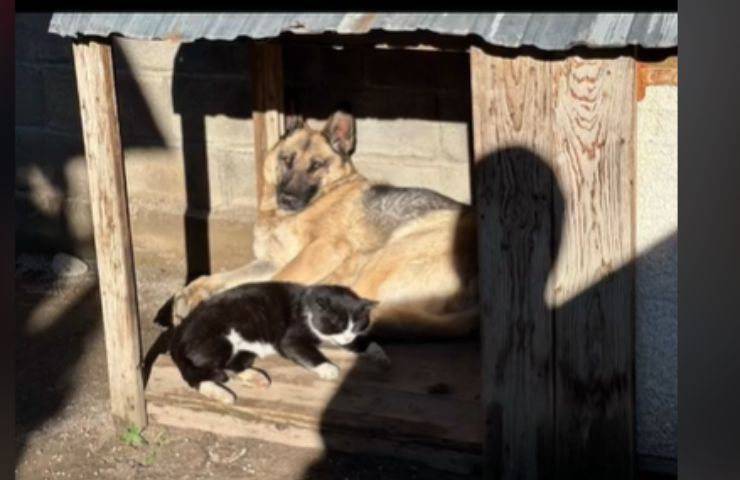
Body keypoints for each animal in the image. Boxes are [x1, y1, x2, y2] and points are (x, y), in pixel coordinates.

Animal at [168, 282, 388, 404]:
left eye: (356, 325)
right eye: (336, 324)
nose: (347, 336)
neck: (308, 307)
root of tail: (178, 334)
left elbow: (361, 343)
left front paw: (379, 353)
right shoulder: (290, 339)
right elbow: (307, 352)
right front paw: (328, 368)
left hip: (245, 350)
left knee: (232, 365)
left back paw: (257, 377)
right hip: (220, 342)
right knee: (196, 376)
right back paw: (221, 394)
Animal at [171, 110, 476, 340]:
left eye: (317, 165)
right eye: (287, 160)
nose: (287, 198)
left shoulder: (323, 249)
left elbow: (273, 279)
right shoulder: (270, 261)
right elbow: (222, 278)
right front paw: (193, 291)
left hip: (389, 254)